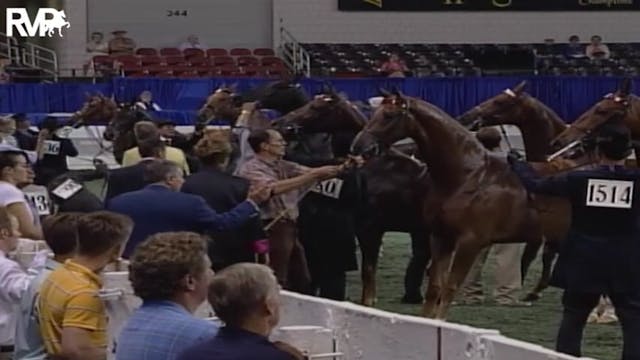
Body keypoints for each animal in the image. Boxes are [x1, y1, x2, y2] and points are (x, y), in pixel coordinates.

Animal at [272, 90, 432, 306]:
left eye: (316, 107)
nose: (279, 123)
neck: (376, 167)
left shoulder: (370, 229)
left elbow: (368, 273)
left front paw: (368, 303)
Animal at [350, 90, 544, 318]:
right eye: (373, 113)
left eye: (389, 115)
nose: (359, 146)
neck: (469, 176)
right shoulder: (441, 237)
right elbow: (434, 288)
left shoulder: (468, 242)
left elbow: (447, 289)